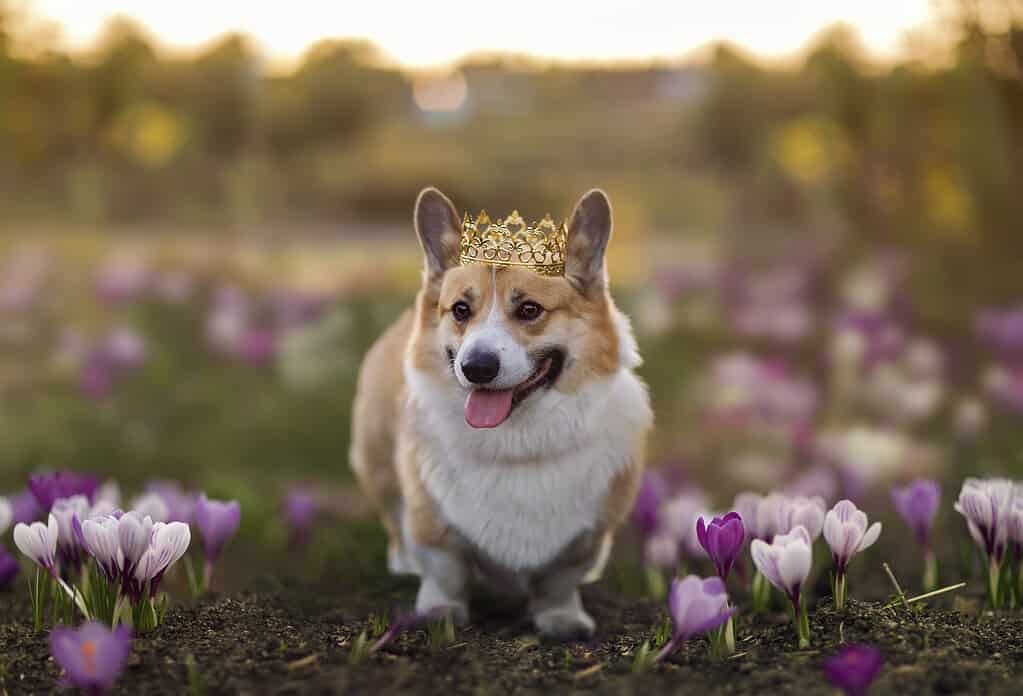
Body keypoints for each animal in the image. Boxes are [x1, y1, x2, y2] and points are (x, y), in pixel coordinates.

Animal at [351, 187, 650, 638]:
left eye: (529, 310)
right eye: (460, 310)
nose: (477, 367)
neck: (517, 443)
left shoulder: (585, 537)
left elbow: (560, 580)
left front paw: (562, 619)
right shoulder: (432, 524)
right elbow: (445, 572)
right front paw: (440, 612)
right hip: (379, 467)